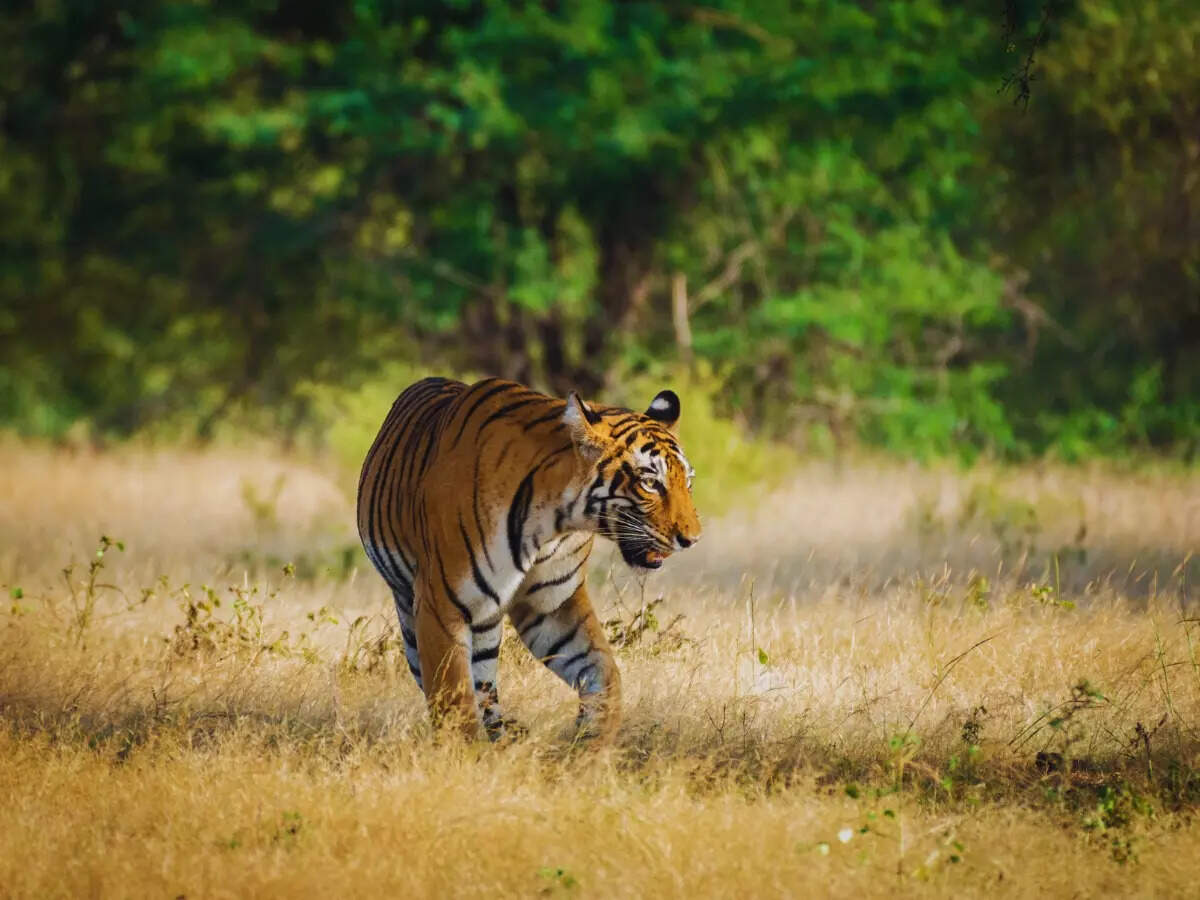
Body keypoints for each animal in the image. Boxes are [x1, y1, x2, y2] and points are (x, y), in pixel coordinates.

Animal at [356, 376, 702, 741]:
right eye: (650, 482)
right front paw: (463, 753)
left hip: (485, 619)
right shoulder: (441, 605)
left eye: (687, 482)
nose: (692, 539)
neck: (555, 523)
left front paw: (592, 742)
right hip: (412, 610)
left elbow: (603, 670)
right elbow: (454, 703)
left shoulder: (552, 603)